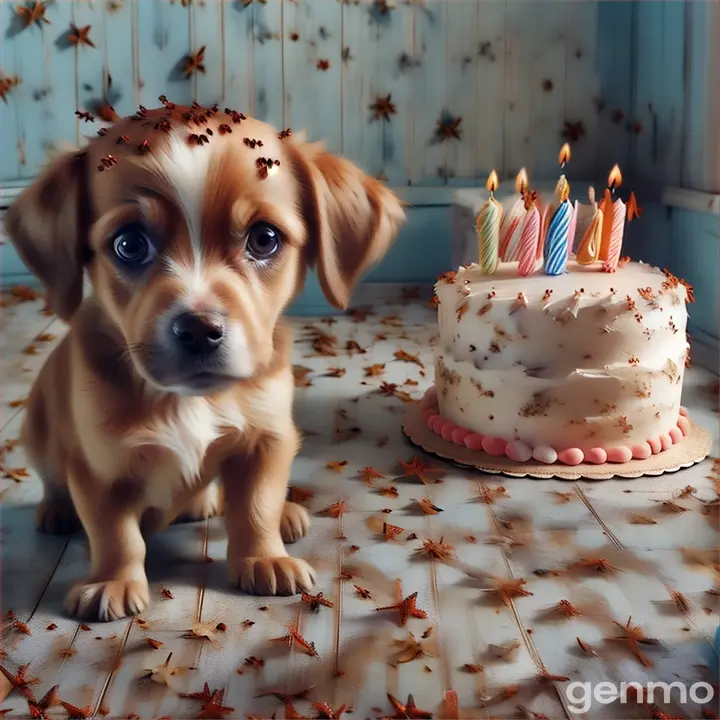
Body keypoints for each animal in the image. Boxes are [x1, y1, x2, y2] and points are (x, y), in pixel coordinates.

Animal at [7, 104, 404, 620]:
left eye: (264, 239)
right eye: (129, 244)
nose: (198, 330)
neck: (189, 402)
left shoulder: (268, 440)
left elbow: (255, 507)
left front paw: (264, 557)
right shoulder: (98, 465)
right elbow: (115, 534)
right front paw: (111, 581)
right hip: (37, 429)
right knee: (54, 481)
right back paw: (57, 510)